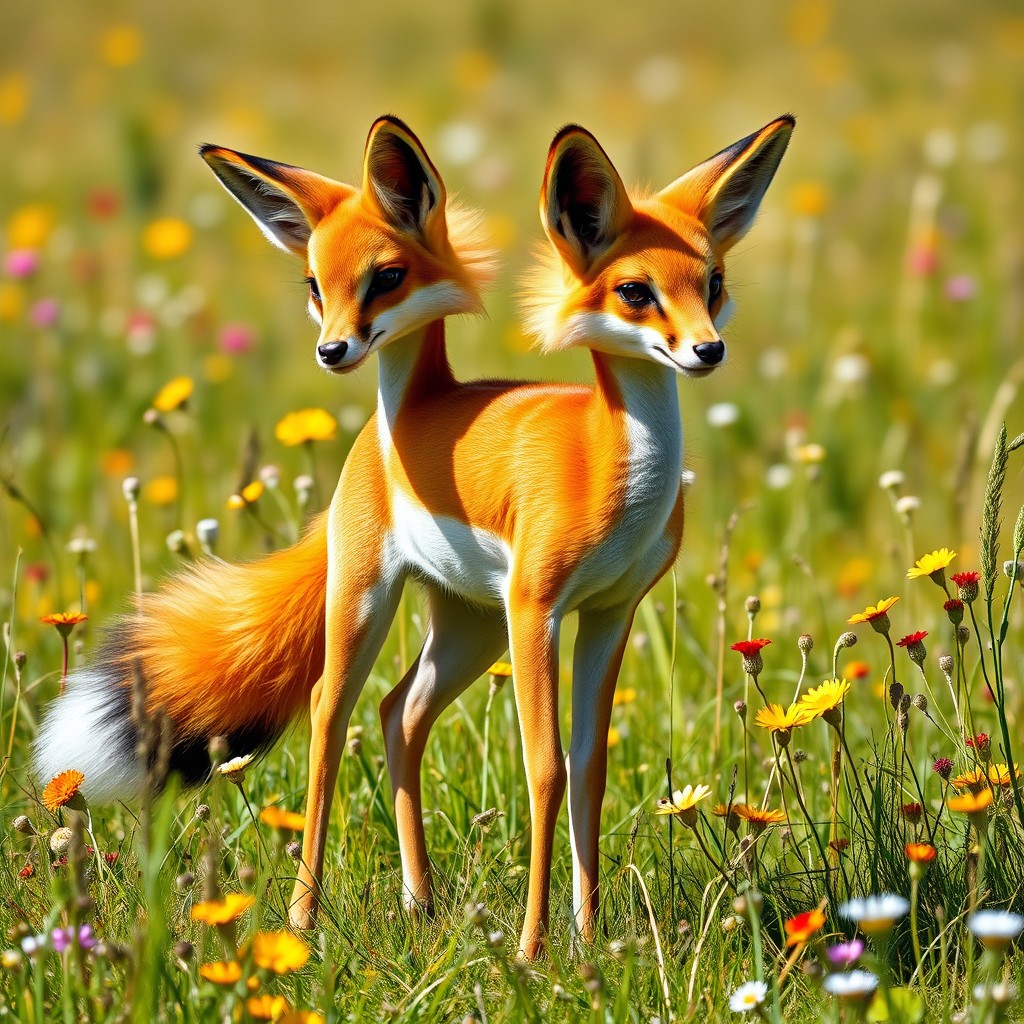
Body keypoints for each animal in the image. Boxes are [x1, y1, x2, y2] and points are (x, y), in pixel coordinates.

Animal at [34, 112, 793, 960]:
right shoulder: (538, 608)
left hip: (469, 626)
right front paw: (533, 951)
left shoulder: (608, 611)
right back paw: (303, 918)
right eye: (636, 292)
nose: (708, 350)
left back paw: (419, 902)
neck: (608, 465)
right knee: (330, 717)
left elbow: (589, 770)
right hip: (373, 600)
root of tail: (399, 414)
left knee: (400, 715)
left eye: (713, 285)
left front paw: (590, 937)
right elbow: (545, 769)